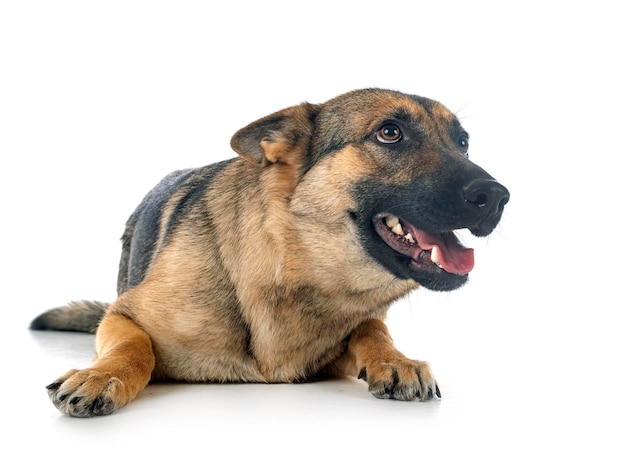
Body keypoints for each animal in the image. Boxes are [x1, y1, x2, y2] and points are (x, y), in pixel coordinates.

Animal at [30, 88, 508, 416]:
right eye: (390, 133)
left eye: (463, 143)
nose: (497, 196)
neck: (292, 268)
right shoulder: (123, 315)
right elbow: (134, 345)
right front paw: (101, 375)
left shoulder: (349, 335)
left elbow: (373, 329)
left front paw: (396, 360)